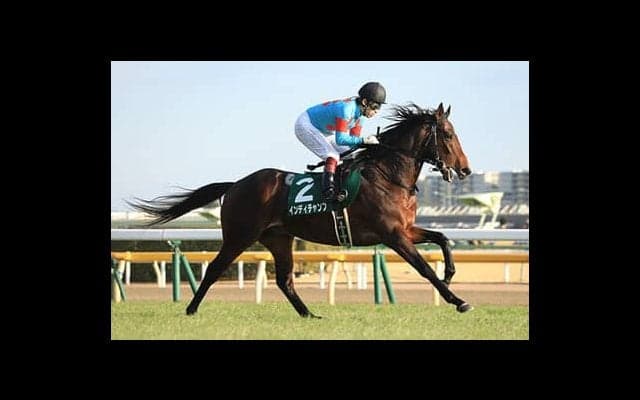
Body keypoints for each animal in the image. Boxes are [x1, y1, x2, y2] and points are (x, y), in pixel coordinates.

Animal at [128, 102, 473, 318]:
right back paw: (191, 309)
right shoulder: (392, 235)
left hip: (279, 238)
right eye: (448, 134)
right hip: (240, 236)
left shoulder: (405, 230)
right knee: (214, 269)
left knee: (285, 280)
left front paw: (451, 274)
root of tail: (236, 184)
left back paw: (309, 314)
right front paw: (458, 300)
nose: (466, 170)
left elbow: (442, 237)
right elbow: (424, 269)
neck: (388, 175)